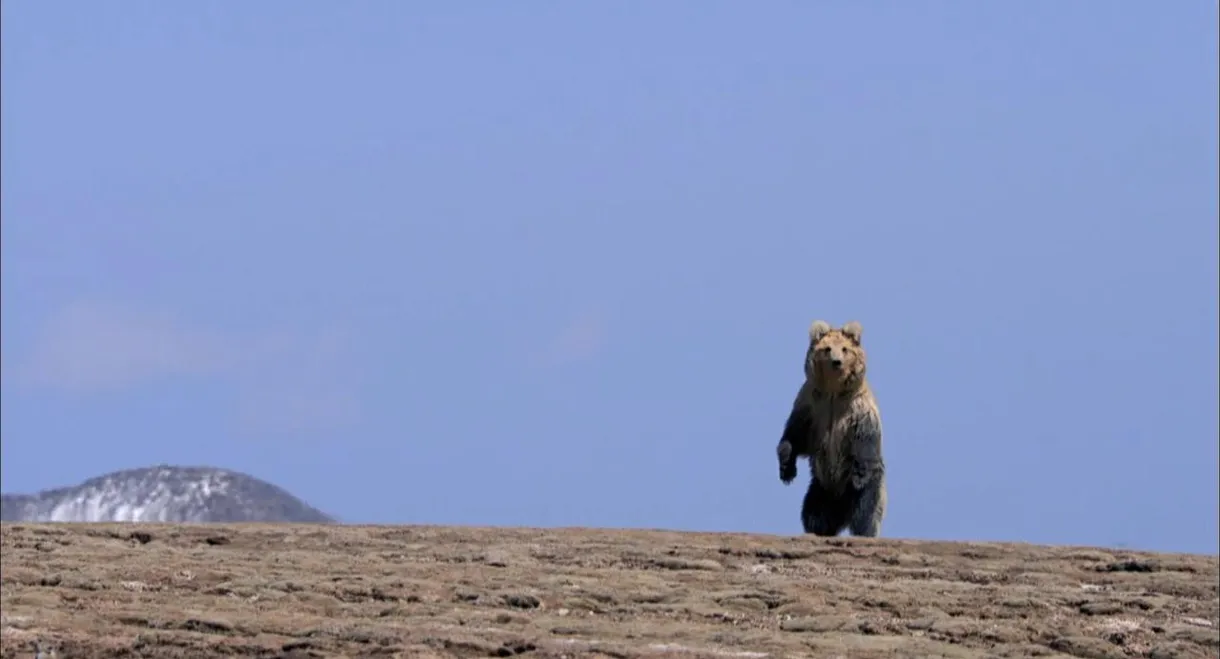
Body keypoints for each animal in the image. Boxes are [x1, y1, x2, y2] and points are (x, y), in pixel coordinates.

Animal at [775, 322, 893, 536]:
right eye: (827, 348)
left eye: (845, 349)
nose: (836, 362)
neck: (834, 392)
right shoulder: (810, 405)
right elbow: (795, 436)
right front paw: (787, 469)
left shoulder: (858, 410)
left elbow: (864, 440)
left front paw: (859, 477)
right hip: (821, 488)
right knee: (813, 513)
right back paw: (819, 529)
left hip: (871, 486)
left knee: (866, 511)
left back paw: (863, 531)